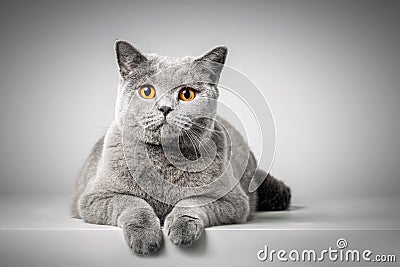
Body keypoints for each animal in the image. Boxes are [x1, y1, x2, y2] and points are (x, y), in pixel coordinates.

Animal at [71, 40, 290, 258]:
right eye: (147, 91)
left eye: (186, 94)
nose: (165, 108)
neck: (164, 161)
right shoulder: (95, 197)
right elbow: (133, 203)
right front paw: (144, 237)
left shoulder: (232, 200)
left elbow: (193, 201)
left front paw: (182, 227)